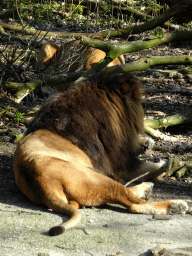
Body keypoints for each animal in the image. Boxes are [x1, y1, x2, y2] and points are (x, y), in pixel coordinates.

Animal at [14, 73, 188, 236]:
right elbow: (148, 167)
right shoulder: (119, 163)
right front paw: (167, 164)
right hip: (96, 178)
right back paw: (175, 205)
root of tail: (43, 188)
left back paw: (148, 188)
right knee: (134, 204)